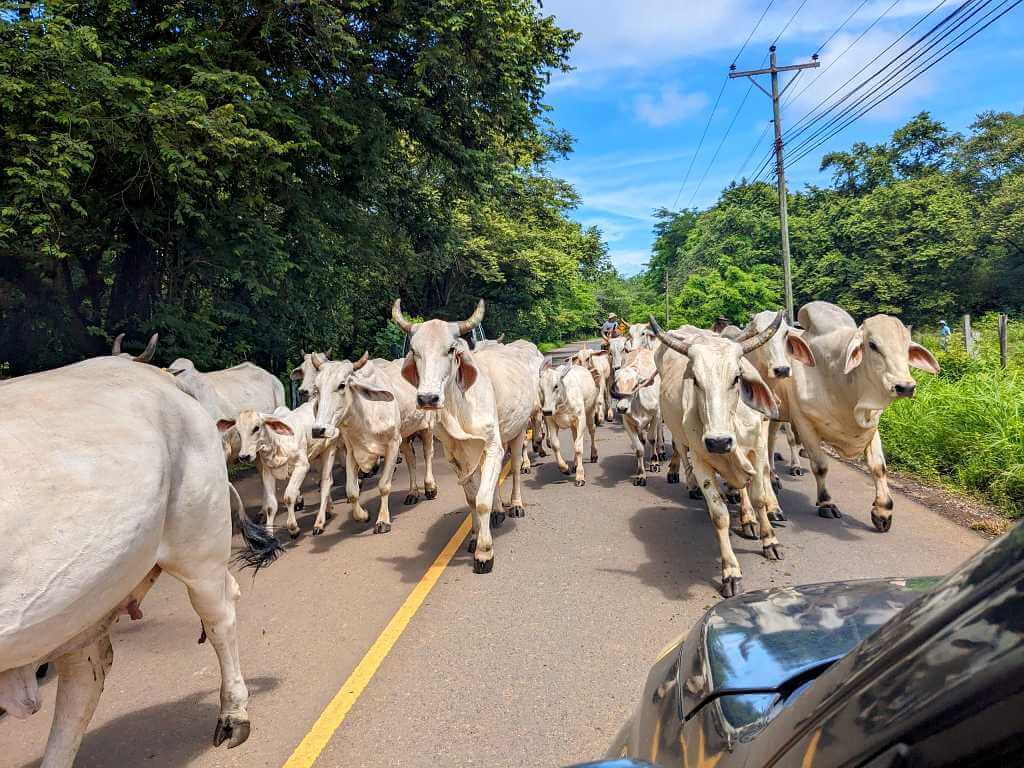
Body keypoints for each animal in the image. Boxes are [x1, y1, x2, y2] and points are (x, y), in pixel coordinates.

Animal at [0, 358, 280, 765]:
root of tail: (159, 375)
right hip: (81, 604)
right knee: (86, 676)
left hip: (199, 551)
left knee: (220, 619)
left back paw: (233, 715)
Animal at [393, 296, 536, 573]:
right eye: (414, 351)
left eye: (451, 349)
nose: (428, 398)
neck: (459, 407)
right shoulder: (456, 455)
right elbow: (472, 497)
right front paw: (474, 535)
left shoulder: (492, 446)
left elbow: (481, 500)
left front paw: (484, 552)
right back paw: (498, 511)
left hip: (518, 431)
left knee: (514, 467)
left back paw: (515, 505)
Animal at [651, 315, 786, 598]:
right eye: (695, 380)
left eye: (736, 378)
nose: (718, 441)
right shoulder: (702, 460)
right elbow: (719, 515)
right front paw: (730, 572)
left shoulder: (757, 449)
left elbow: (758, 497)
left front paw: (769, 539)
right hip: (679, 436)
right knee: (683, 456)